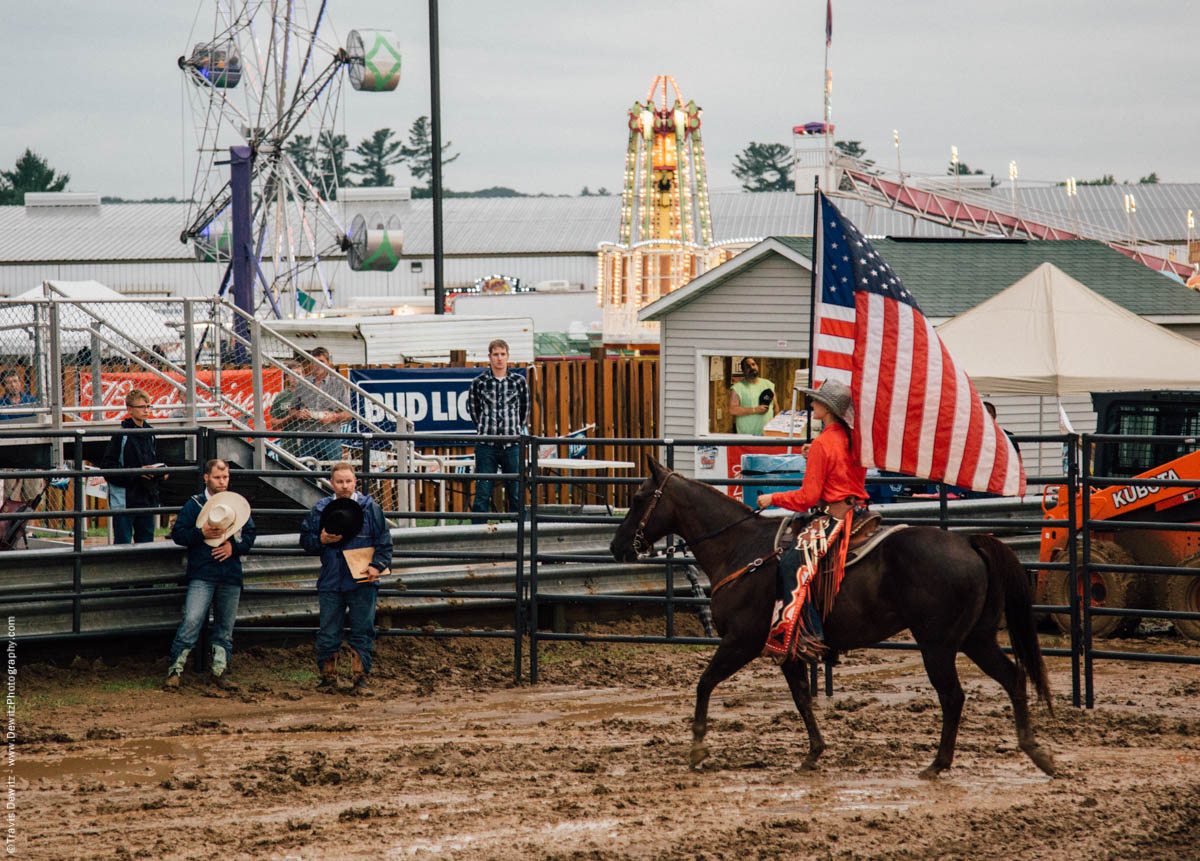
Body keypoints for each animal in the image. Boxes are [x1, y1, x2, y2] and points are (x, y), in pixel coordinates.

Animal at [614, 462, 1056, 777]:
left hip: (938, 644)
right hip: (976, 638)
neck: (743, 549)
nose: (617, 547)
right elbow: (801, 697)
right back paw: (1037, 753)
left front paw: (698, 748)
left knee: (953, 696)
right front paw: (813, 753)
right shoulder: (786, 646)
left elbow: (705, 683)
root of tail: (968, 541)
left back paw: (938, 764)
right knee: (1014, 677)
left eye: (637, 498)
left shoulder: (741, 641)